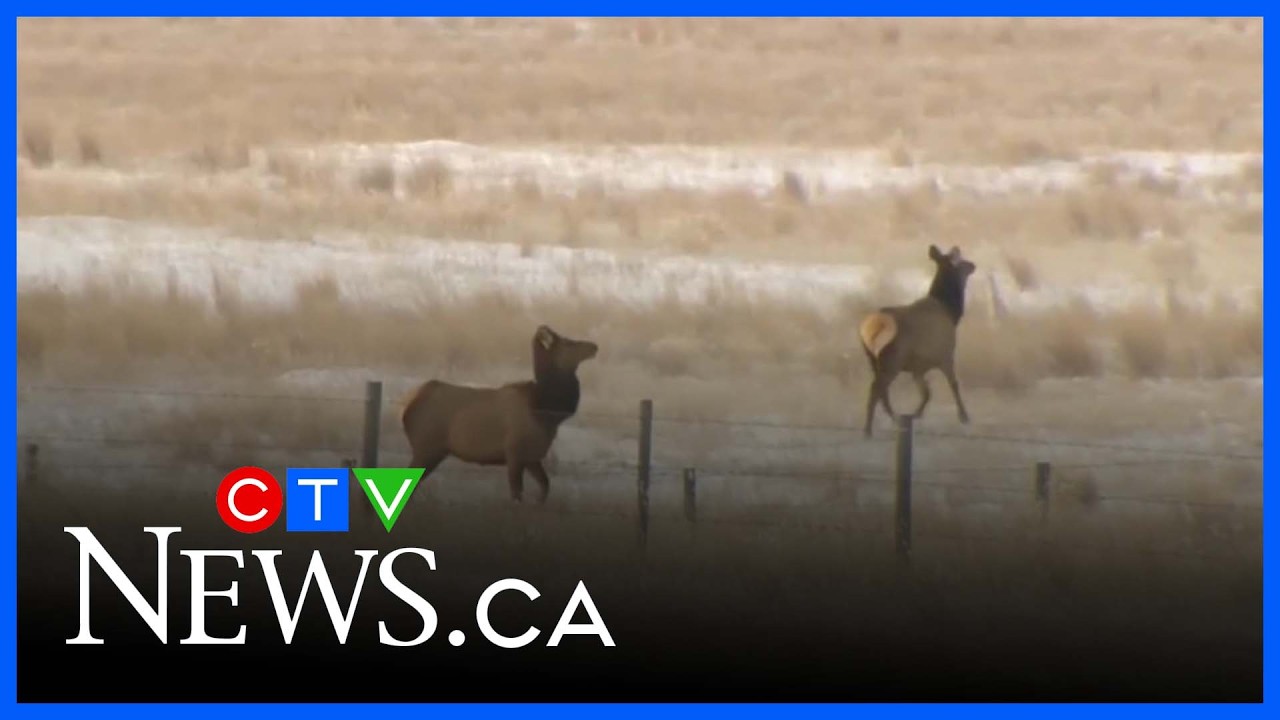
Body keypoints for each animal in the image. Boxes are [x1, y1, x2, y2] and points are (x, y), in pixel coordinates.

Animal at [399, 324, 598, 503]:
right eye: (568, 343)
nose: (594, 346)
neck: (545, 413)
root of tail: (407, 405)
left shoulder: (532, 457)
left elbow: (545, 486)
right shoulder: (515, 453)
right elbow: (517, 495)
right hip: (427, 449)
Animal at [858, 244, 976, 438]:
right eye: (958, 260)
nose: (973, 265)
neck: (952, 312)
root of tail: (873, 327)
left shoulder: (918, 367)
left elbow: (927, 393)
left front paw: (915, 415)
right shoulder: (946, 355)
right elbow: (954, 385)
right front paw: (964, 417)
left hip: (873, 359)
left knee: (881, 390)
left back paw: (893, 419)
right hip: (892, 360)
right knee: (877, 389)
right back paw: (869, 429)